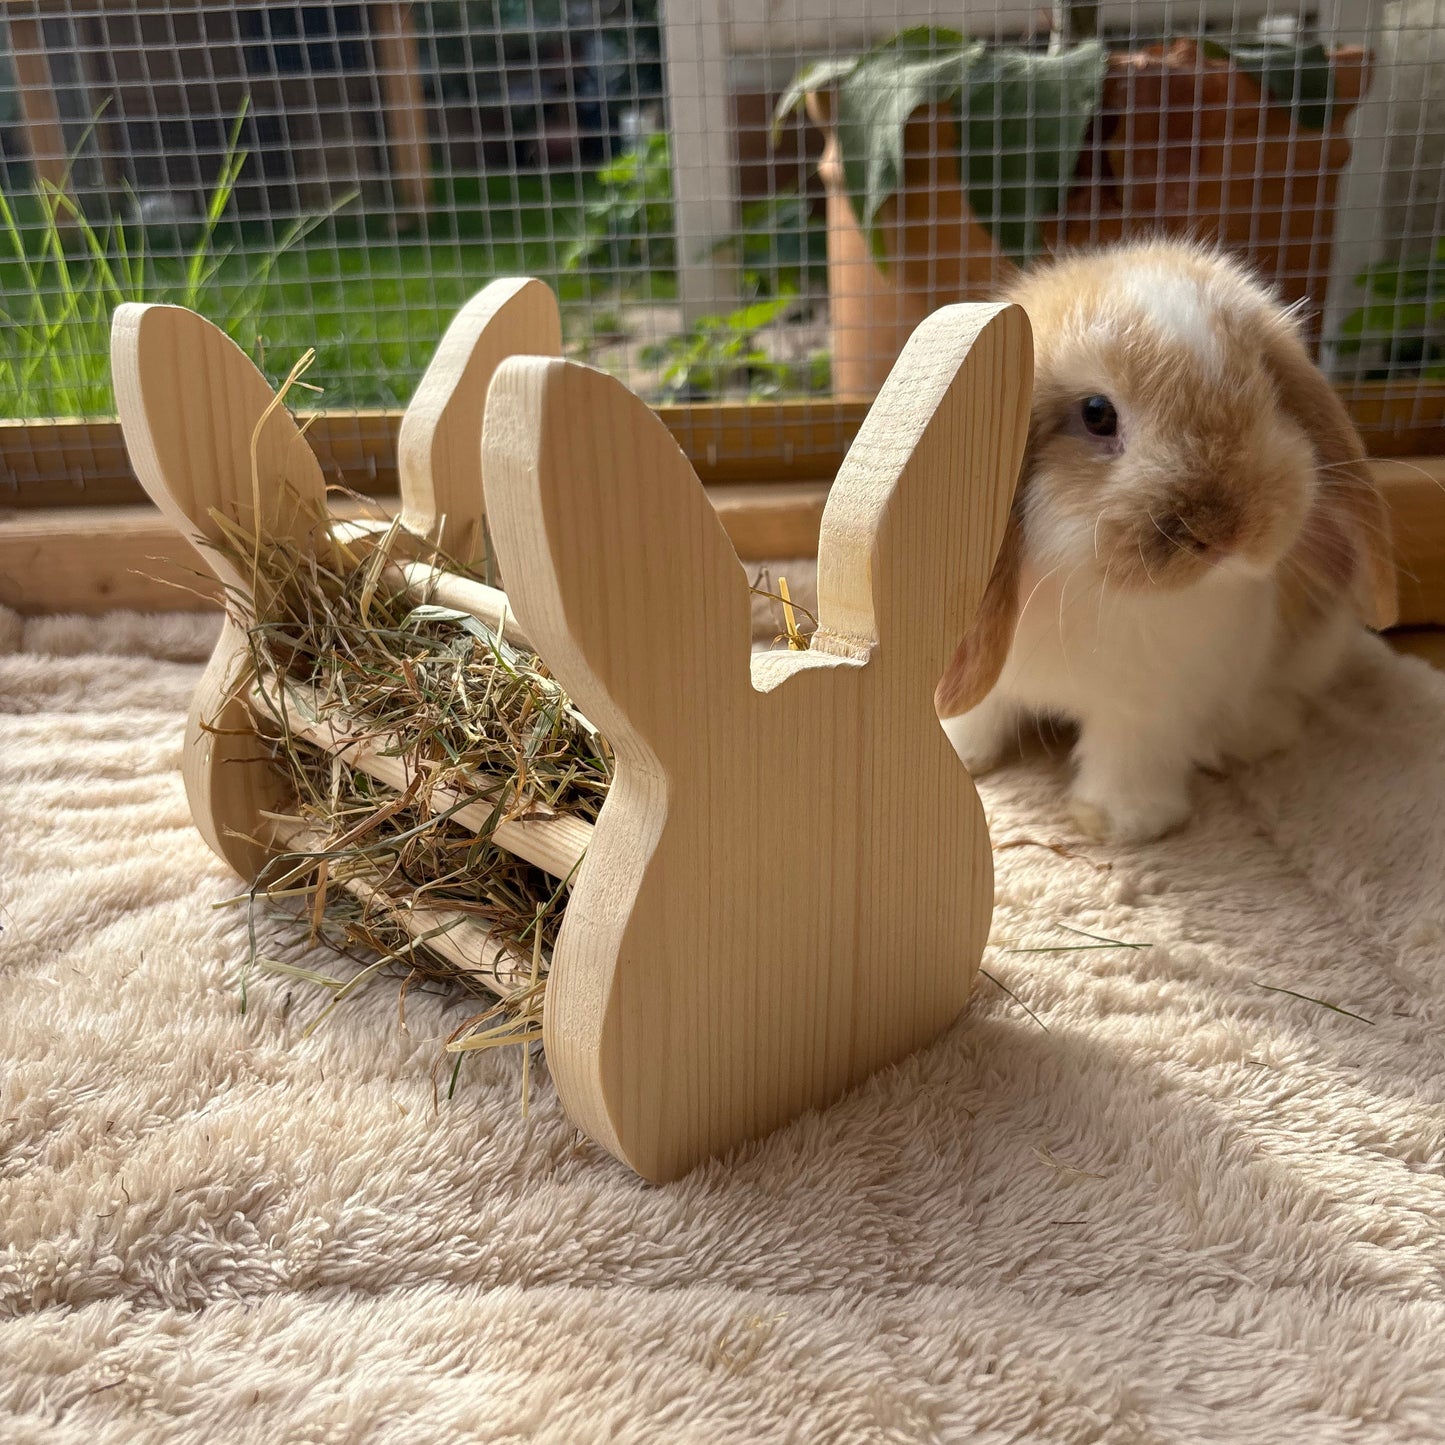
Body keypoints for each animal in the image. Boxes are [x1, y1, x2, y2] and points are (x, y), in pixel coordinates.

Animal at [936, 240, 1398, 845]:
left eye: (1265, 387)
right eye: (1096, 414)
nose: (1225, 531)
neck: (1090, 585)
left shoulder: (1150, 706)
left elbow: (1128, 757)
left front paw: (1119, 824)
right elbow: (976, 716)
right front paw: (967, 762)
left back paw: (1250, 736)